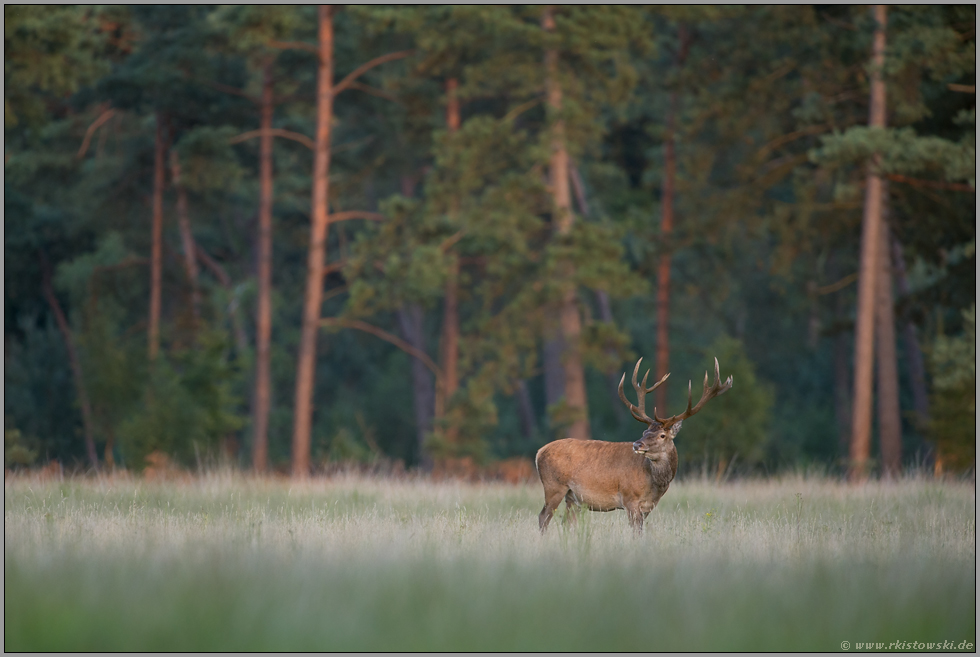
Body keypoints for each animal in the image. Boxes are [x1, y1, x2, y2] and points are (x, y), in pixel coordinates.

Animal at [532, 356, 732, 532]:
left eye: (662, 435)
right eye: (644, 432)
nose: (637, 445)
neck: (654, 485)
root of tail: (539, 452)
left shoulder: (648, 507)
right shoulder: (629, 499)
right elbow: (636, 532)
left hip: (573, 498)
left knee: (566, 523)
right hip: (554, 486)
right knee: (543, 516)